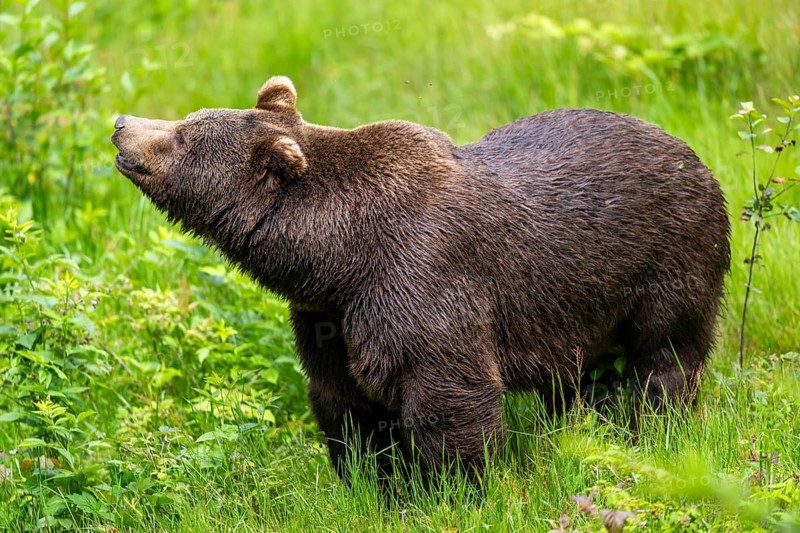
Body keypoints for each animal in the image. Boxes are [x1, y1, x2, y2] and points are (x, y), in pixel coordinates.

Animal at [111, 75, 731, 481]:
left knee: (665, 355)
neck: (339, 257)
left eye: (184, 134)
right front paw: (371, 481)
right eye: (188, 119)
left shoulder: (424, 281)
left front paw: (455, 486)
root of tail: (697, 156)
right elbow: (345, 402)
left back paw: (651, 424)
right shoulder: (330, 319)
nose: (120, 124)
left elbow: (448, 397)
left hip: (666, 262)